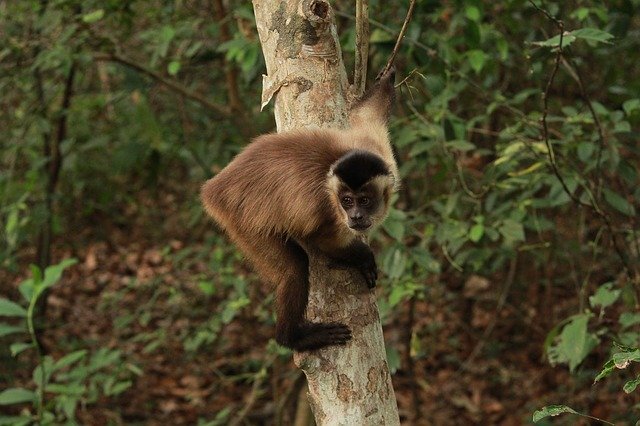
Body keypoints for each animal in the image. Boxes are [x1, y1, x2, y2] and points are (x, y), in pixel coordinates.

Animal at [202, 68, 398, 352]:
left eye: (364, 201)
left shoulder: (373, 145)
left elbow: (364, 115)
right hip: (240, 221)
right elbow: (319, 240)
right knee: (293, 269)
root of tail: (214, 189)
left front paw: (386, 80)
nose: (356, 217)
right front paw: (361, 256)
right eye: (347, 201)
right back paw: (293, 338)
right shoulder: (326, 209)